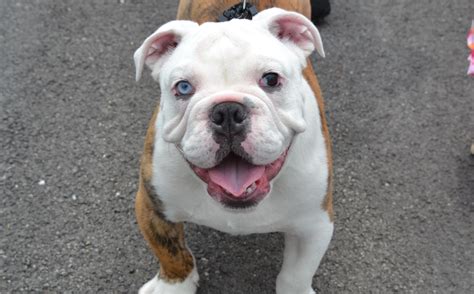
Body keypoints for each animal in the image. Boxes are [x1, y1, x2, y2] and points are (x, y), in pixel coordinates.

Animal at [133, 1, 334, 292]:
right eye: (183, 87)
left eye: (271, 79)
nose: (227, 111)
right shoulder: (152, 208)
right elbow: (172, 255)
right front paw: (174, 286)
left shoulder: (314, 224)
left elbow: (296, 274)